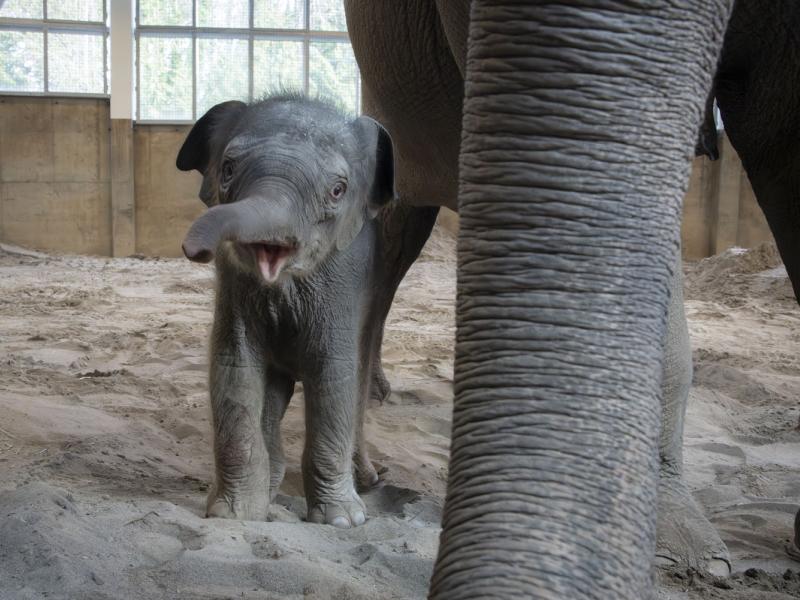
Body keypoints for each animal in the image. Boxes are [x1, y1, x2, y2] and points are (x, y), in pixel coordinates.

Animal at [175, 95, 436, 527]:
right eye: (227, 169)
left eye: (337, 190)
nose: (195, 250)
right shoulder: (235, 291)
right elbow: (235, 368)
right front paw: (235, 515)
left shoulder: (343, 285)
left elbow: (334, 373)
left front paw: (342, 521)